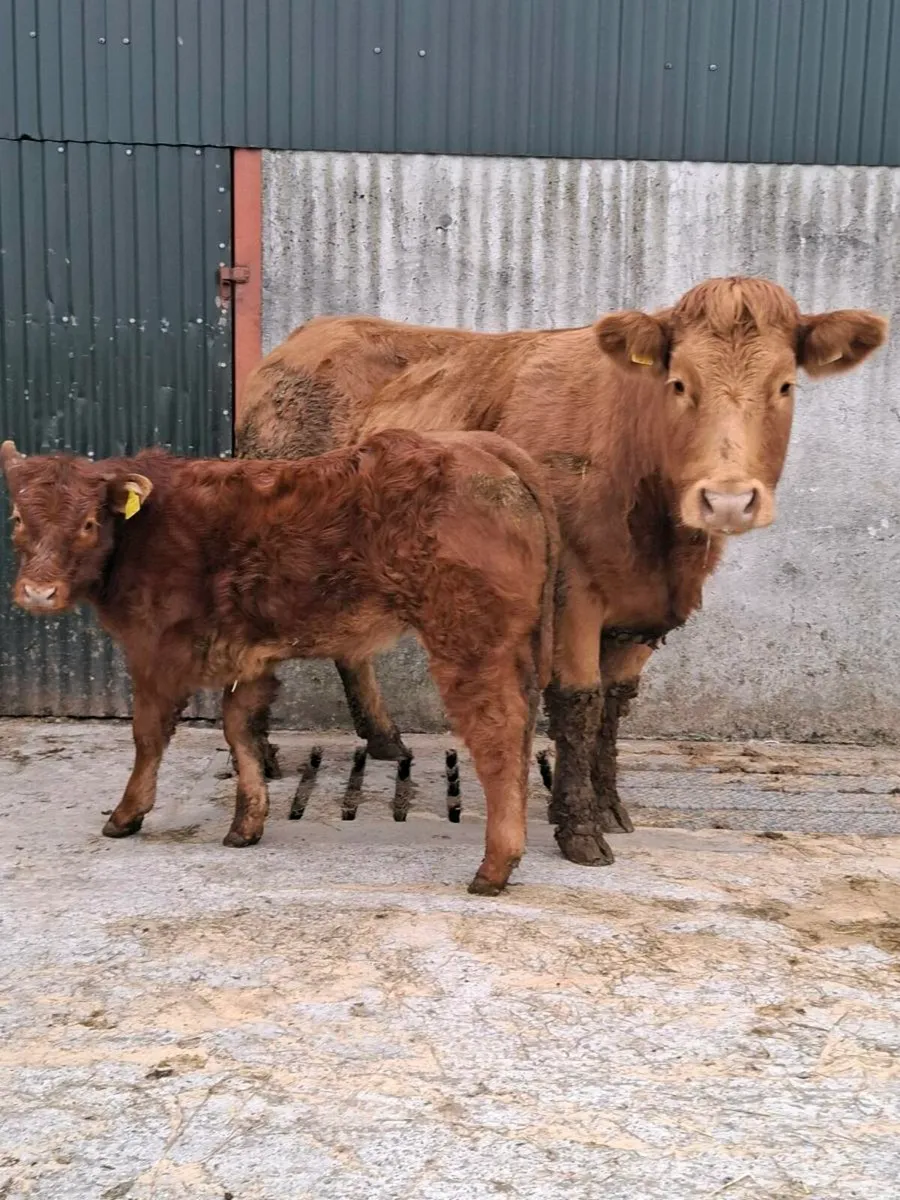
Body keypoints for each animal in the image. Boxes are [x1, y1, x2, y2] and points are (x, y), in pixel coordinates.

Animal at [0, 429, 560, 895]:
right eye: (17, 519)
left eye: (88, 524)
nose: (38, 592)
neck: (145, 530)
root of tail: (481, 447)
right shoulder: (250, 655)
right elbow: (239, 729)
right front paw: (247, 821)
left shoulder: (155, 651)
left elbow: (148, 735)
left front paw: (126, 814)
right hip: (511, 647)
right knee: (522, 726)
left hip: (467, 640)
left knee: (497, 734)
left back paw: (495, 866)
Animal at [236, 277, 887, 868]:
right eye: (679, 383)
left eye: (784, 385)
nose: (727, 499)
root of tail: (308, 334)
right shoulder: (573, 591)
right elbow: (578, 702)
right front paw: (578, 828)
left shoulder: (645, 611)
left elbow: (614, 707)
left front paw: (610, 807)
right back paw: (264, 756)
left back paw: (385, 740)